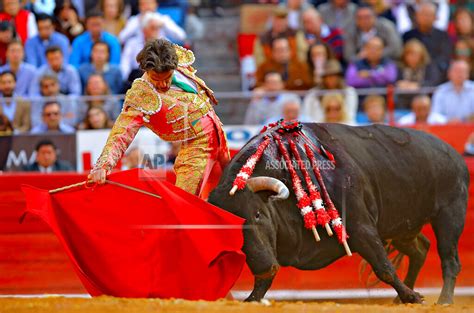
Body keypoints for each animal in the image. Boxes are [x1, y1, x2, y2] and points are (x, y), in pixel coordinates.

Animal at [209, 122, 468, 302]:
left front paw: (413, 297)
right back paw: (400, 298)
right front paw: (251, 299)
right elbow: (263, 283)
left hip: (449, 215)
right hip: (402, 227)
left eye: (257, 214)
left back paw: (443, 300)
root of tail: (454, 154)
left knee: (450, 260)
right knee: (421, 250)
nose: (266, 266)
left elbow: (383, 267)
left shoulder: (361, 226)